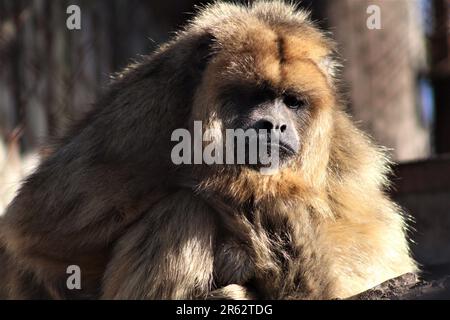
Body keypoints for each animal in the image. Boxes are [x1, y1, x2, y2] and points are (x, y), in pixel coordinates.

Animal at [0, 1, 418, 298]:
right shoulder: (146, 111)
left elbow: (381, 245)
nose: (275, 124)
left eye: (292, 101)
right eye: (255, 95)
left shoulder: (341, 149)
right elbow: (39, 227)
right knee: (184, 208)